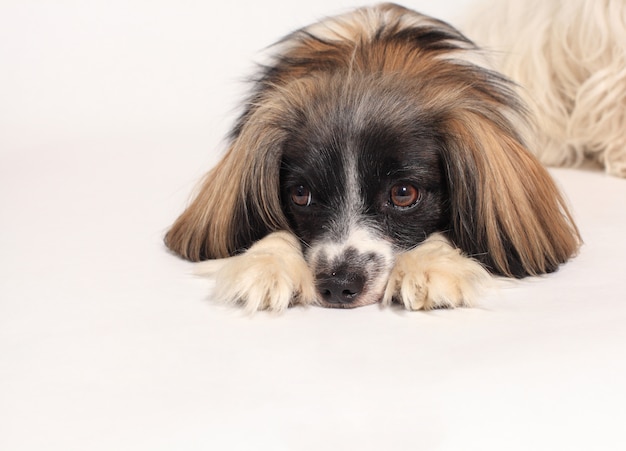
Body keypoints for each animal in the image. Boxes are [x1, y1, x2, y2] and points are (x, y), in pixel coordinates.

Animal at [165, 2, 580, 314]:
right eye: (300, 194)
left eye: (403, 194)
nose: (338, 286)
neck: (369, 63)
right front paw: (266, 264)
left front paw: (431, 267)